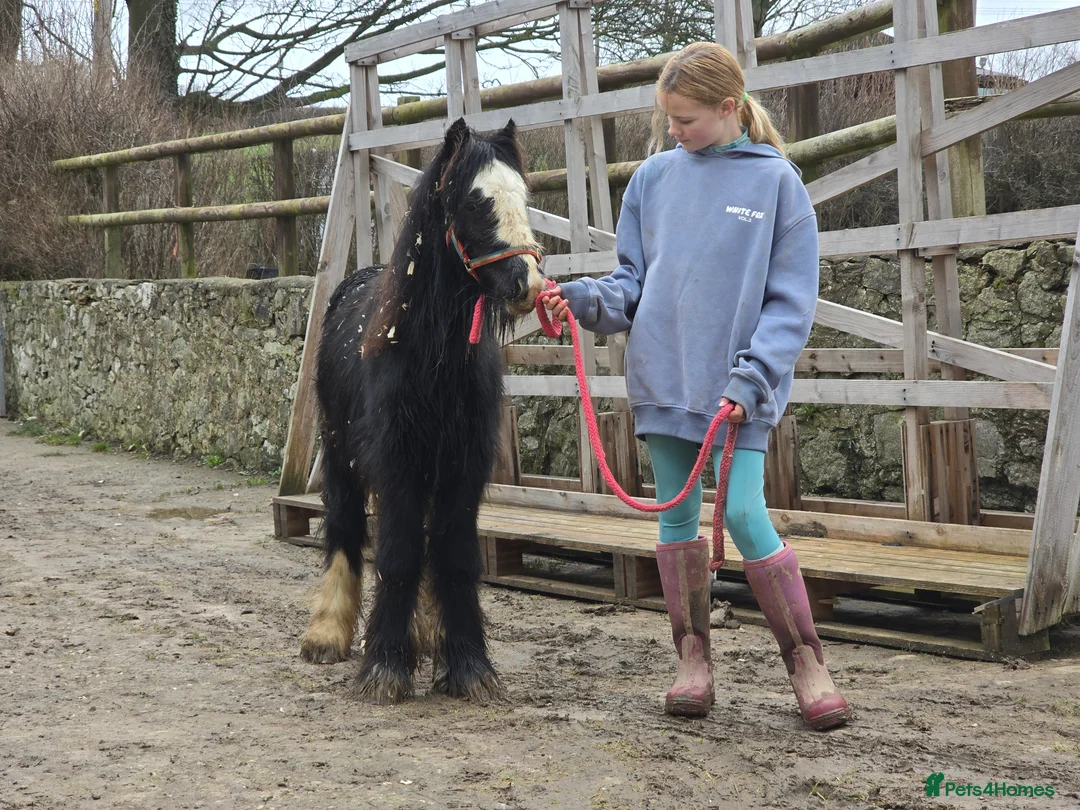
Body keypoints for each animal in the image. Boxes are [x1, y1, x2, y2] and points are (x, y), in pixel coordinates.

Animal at [299, 118, 546, 704]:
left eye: (523, 196)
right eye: (476, 201)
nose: (528, 284)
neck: (428, 356)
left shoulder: (463, 467)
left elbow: (452, 554)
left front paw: (467, 665)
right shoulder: (398, 463)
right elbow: (397, 553)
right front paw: (385, 667)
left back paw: (425, 636)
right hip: (341, 456)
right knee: (346, 530)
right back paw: (329, 634)